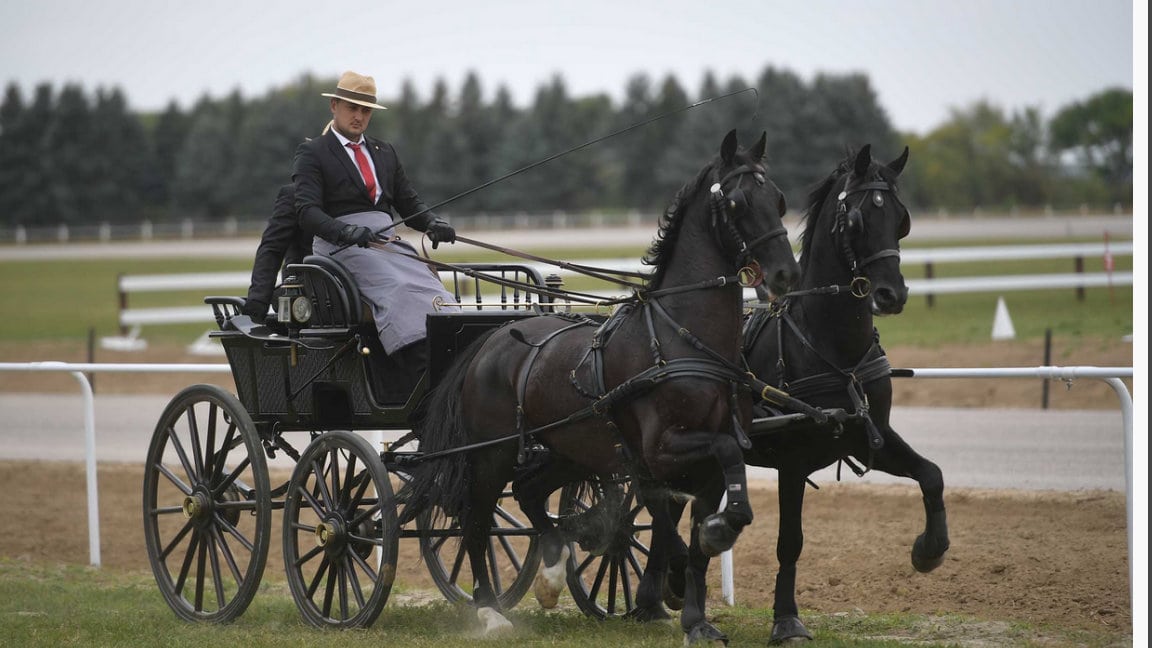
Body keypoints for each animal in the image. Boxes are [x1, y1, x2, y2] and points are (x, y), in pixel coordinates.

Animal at [403, 129, 801, 641]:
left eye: (779, 199)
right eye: (736, 203)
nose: (786, 275)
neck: (682, 339)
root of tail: (488, 340)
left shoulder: (703, 456)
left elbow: (697, 530)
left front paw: (696, 618)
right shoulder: (660, 449)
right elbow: (685, 518)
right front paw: (697, 558)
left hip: (568, 449)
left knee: (530, 493)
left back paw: (552, 571)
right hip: (491, 453)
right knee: (476, 521)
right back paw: (490, 610)